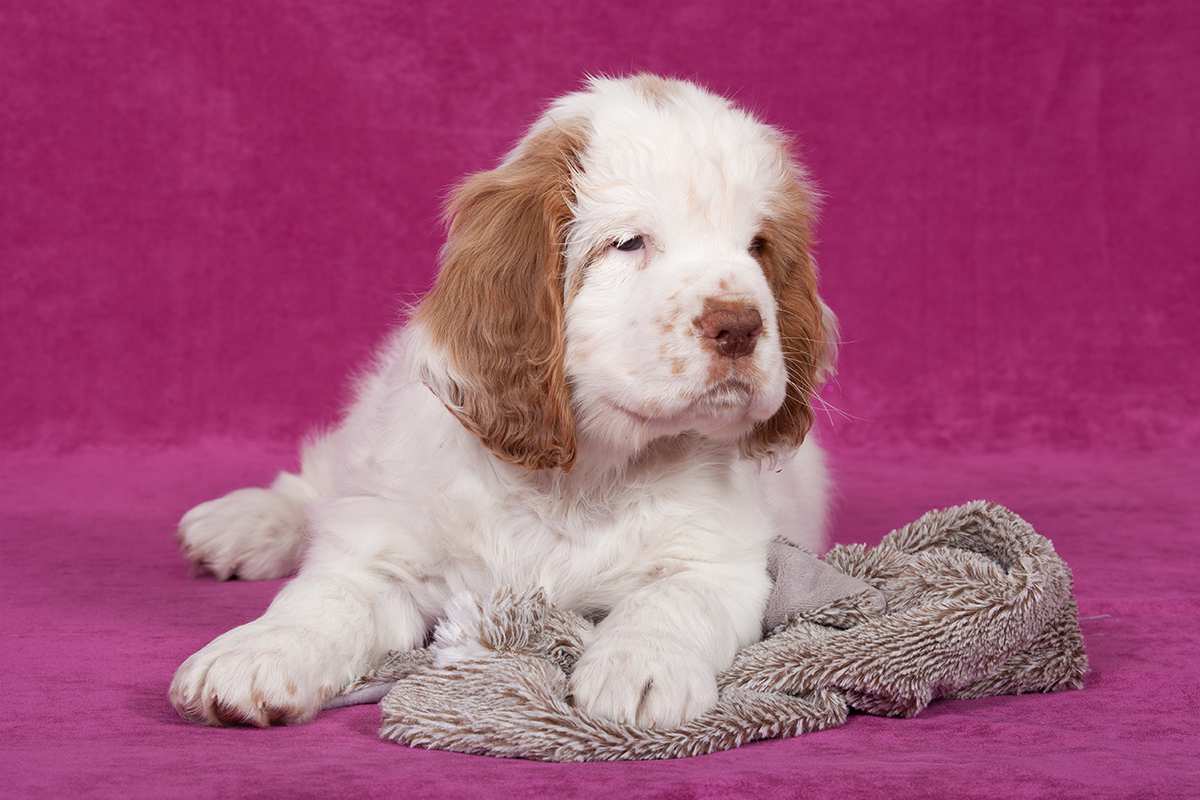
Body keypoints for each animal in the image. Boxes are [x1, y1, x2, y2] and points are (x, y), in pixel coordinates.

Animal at [174, 74, 840, 734]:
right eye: (628, 243)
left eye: (757, 247)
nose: (741, 326)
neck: (578, 479)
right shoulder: (387, 549)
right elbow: (327, 596)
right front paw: (256, 654)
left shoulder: (720, 559)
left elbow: (673, 599)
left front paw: (640, 667)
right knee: (323, 483)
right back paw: (244, 524)